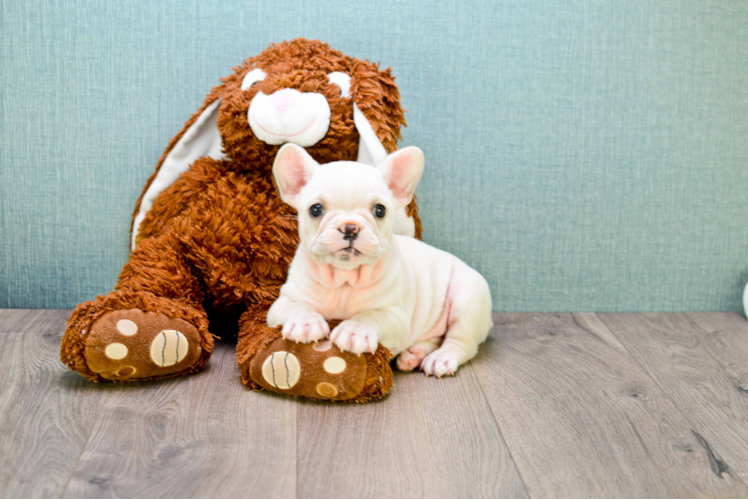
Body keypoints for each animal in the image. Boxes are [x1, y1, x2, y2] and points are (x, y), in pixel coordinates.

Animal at [266, 143, 494, 376]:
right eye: (315, 209)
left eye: (380, 210)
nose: (350, 227)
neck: (344, 279)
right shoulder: (282, 303)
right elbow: (297, 306)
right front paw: (305, 322)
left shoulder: (396, 317)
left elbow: (372, 316)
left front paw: (355, 330)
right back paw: (415, 354)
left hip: (467, 297)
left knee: (461, 342)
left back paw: (441, 358)